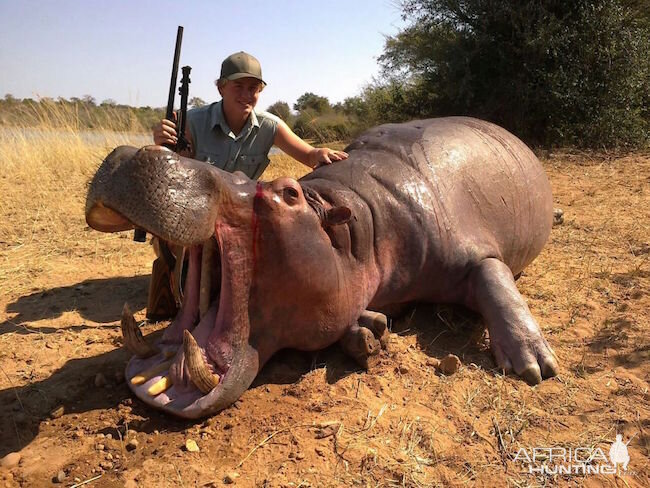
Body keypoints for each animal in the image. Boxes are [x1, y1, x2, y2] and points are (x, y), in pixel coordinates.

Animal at [85, 117, 556, 420]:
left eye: (288, 193)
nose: (135, 151)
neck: (351, 220)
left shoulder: (469, 252)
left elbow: (496, 283)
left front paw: (535, 366)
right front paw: (369, 332)